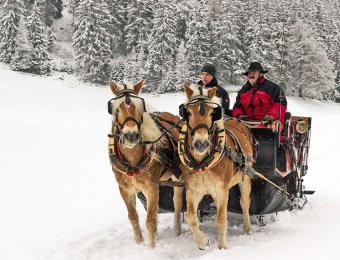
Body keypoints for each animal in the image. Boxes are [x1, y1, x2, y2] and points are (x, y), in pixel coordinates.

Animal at [107, 79, 181, 248]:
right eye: (116, 108)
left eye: (140, 107)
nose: (131, 135)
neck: (132, 162)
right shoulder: (125, 189)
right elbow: (133, 217)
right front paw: (140, 242)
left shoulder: (151, 187)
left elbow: (150, 220)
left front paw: (151, 248)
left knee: (177, 202)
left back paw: (177, 230)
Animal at [173, 83, 255, 250]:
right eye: (188, 112)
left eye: (212, 113)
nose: (201, 143)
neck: (202, 163)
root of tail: (240, 122)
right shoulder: (193, 190)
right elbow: (191, 217)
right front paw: (203, 241)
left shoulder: (222, 189)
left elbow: (221, 219)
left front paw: (222, 247)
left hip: (245, 178)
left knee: (244, 203)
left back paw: (247, 228)